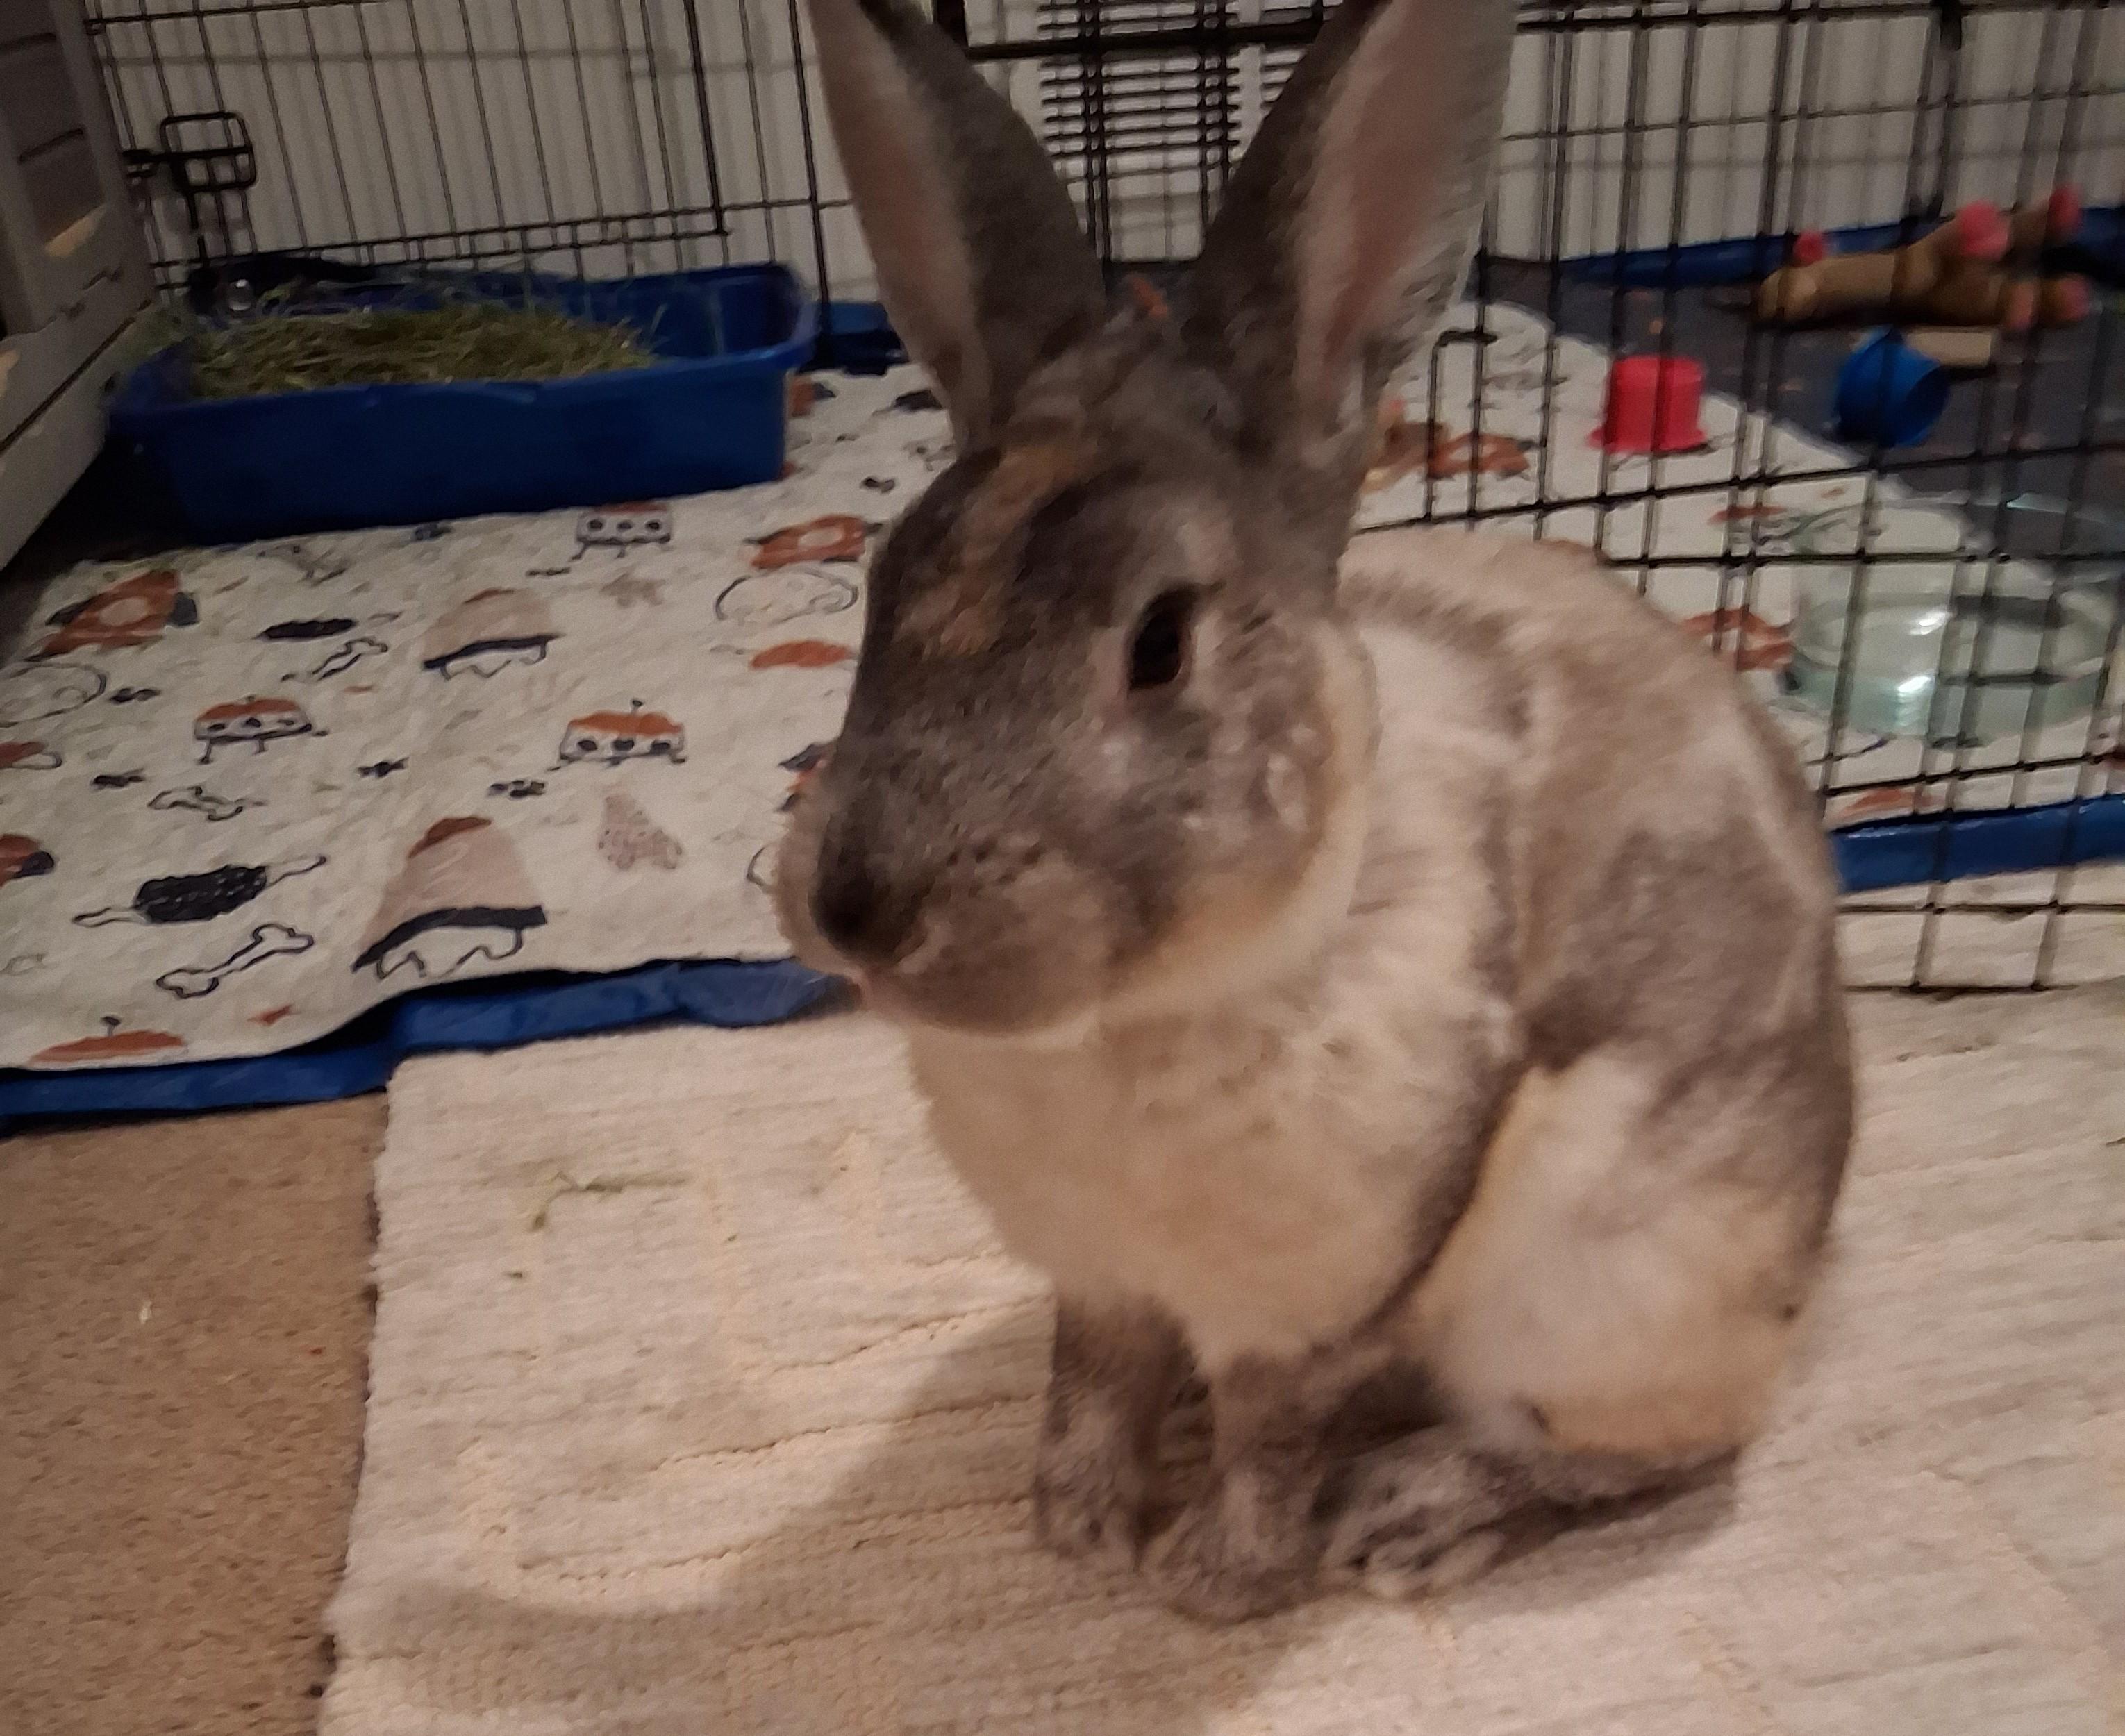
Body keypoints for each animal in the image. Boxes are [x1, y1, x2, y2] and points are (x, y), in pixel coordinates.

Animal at [776, 0, 1852, 1624]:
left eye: (1161, 642)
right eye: (880, 583)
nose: (858, 909)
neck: (1132, 1023)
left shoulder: (1311, 1305)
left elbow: (1270, 1437)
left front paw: (1212, 1581)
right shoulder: (1099, 1278)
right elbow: (1090, 1376)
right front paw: (1076, 1526)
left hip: (1626, 1295)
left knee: (1650, 1453)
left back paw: (1409, 1517)